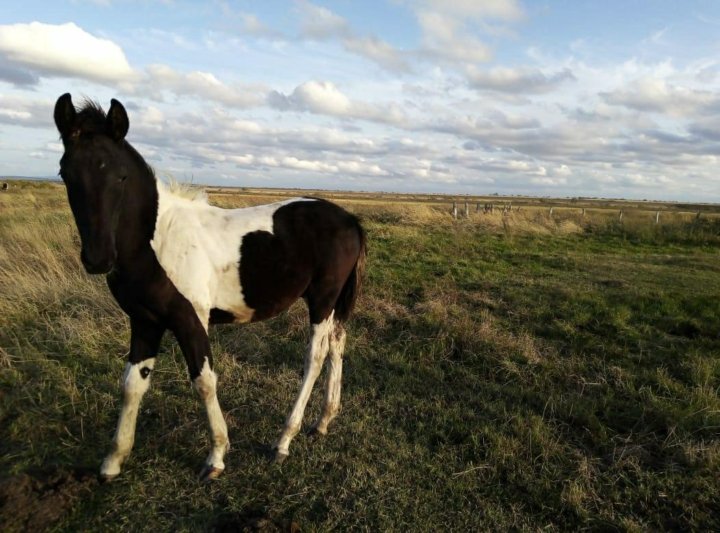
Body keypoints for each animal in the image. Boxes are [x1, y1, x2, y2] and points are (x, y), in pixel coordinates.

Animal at [52, 93, 366, 480]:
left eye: (120, 175)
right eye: (65, 173)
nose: (98, 259)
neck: (157, 240)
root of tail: (349, 219)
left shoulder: (189, 319)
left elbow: (203, 381)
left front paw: (216, 457)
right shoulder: (144, 322)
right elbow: (131, 385)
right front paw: (113, 461)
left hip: (322, 299)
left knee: (316, 356)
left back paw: (283, 441)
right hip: (332, 302)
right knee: (338, 344)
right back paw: (322, 422)